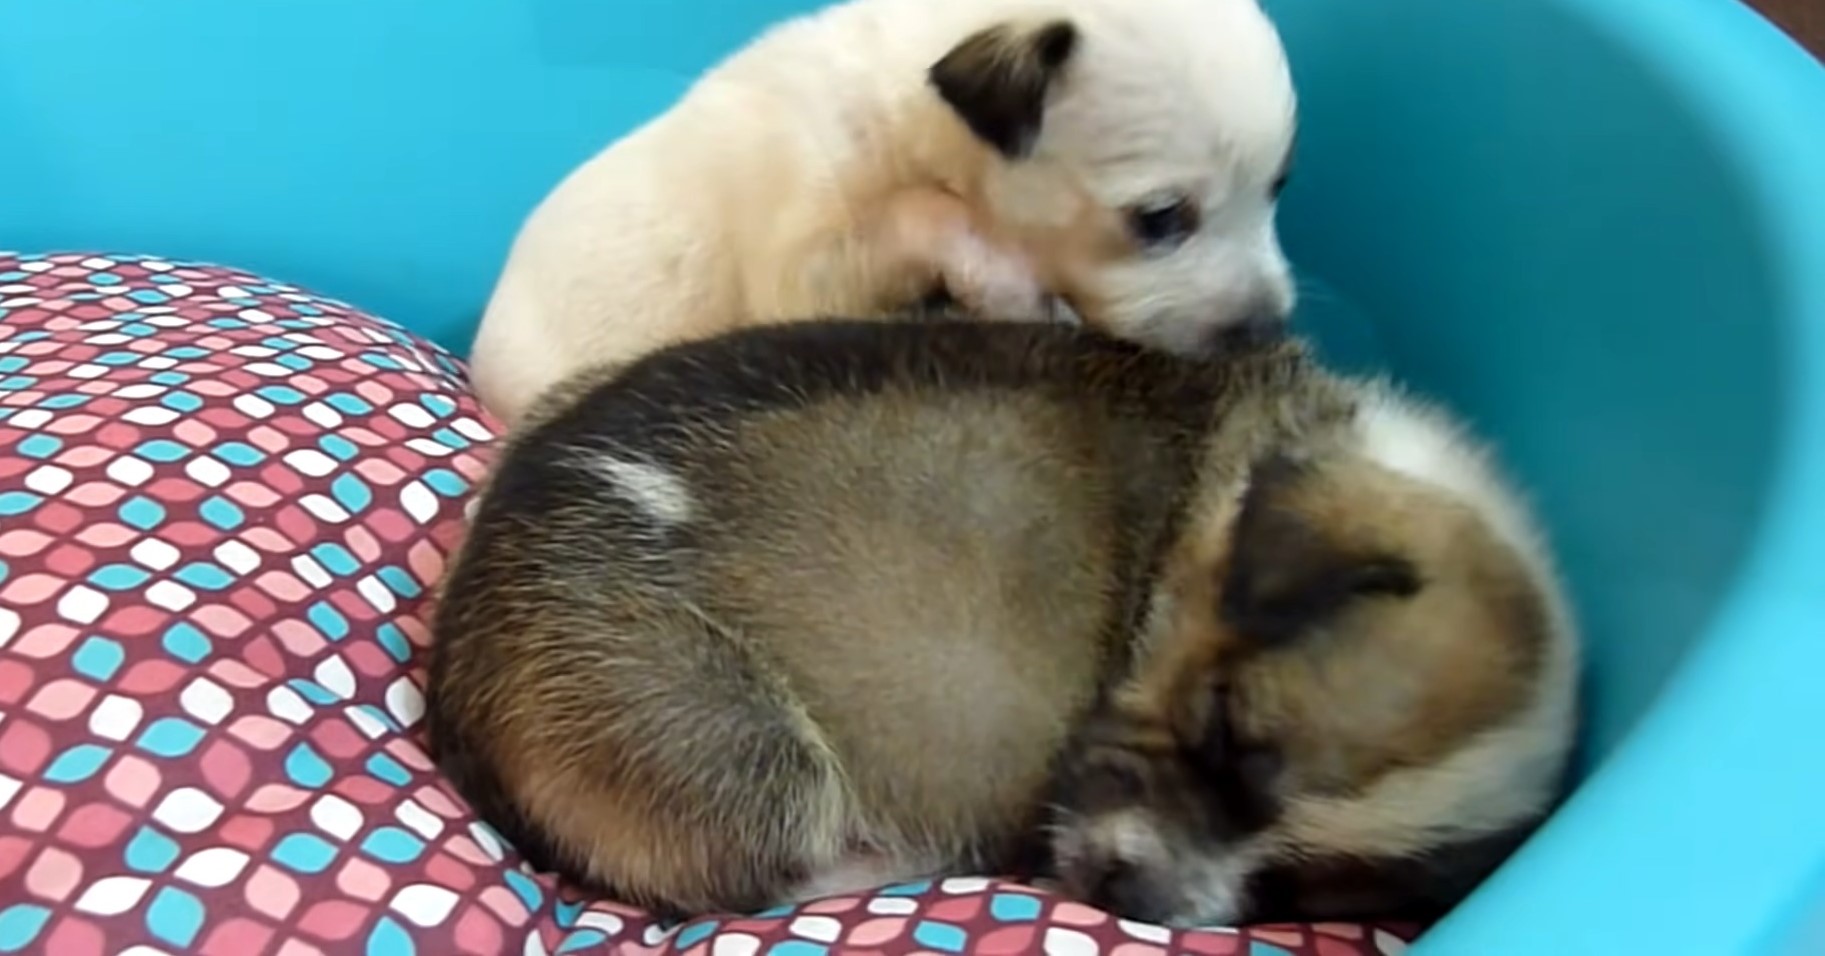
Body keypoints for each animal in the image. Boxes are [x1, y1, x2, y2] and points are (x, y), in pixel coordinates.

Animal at [470, 0, 1299, 421]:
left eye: (1278, 188)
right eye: (1158, 218)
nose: (1263, 327)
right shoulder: (802, 265)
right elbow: (921, 213)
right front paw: (1005, 280)